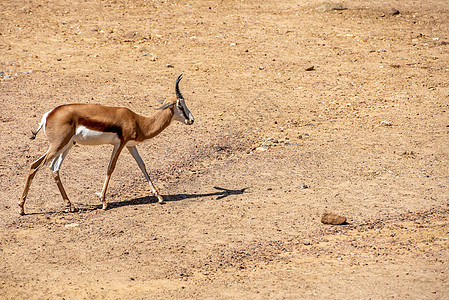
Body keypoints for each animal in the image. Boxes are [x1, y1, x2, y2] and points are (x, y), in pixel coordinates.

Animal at [18, 74, 192, 216]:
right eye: (180, 105)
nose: (191, 120)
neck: (138, 121)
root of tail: (47, 115)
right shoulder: (120, 144)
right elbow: (111, 168)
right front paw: (103, 201)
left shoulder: (130, 145)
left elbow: (142, 165)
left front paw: (159, 196)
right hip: (58, 146)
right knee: (35, 166)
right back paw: (21, 208)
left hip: (66, 146)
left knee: (53, 168)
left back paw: (70, 206)